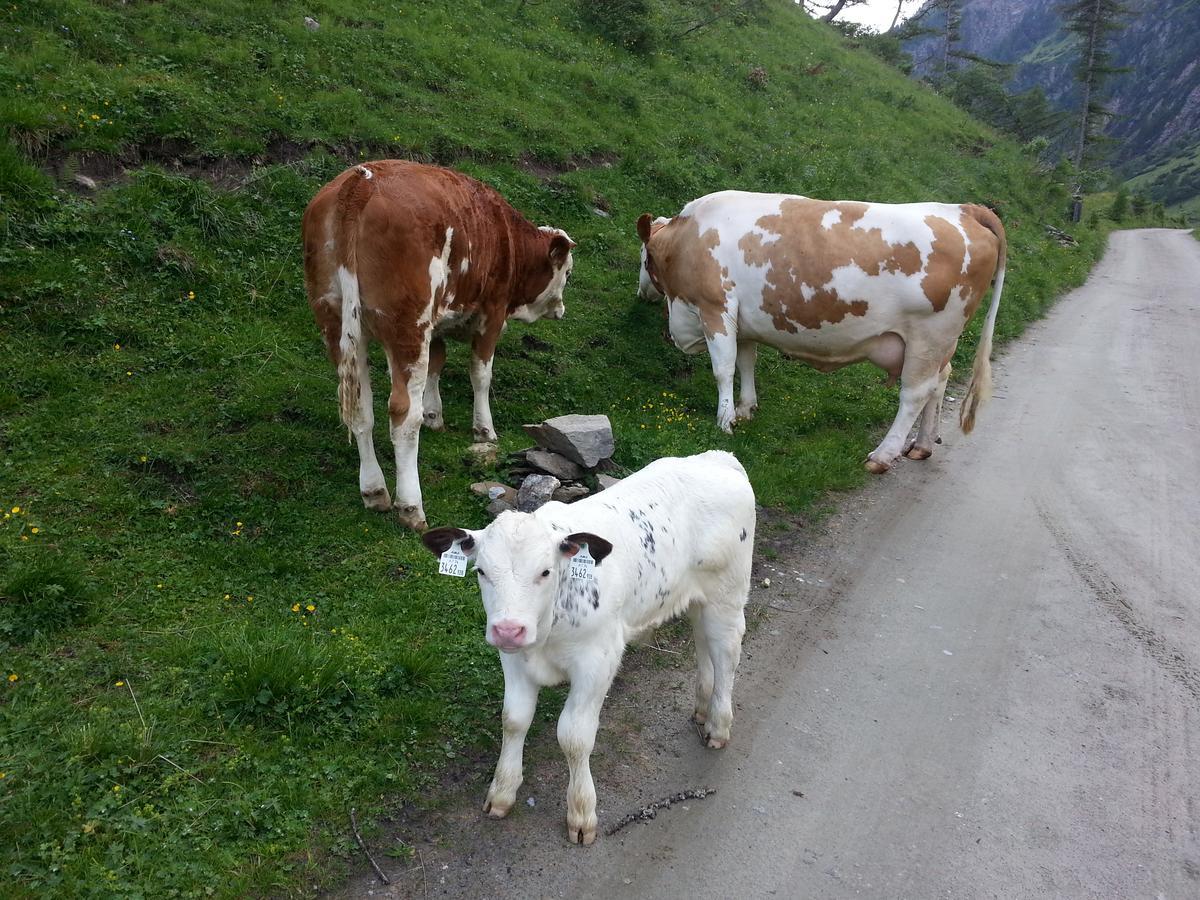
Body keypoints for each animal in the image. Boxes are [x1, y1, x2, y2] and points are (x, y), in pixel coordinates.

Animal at [304, 160, 576, 528]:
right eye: (568, 273)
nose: (560, 310)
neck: (505, 235)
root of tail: (361, 179)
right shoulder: (491, 313)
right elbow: (480, 374)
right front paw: (483, 429)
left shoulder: (438, 323)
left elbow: (437, 362)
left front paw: (434, 414)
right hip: (407, 326)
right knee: (403, 416)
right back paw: (410, 506)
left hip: (335, 322)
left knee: (361, 410)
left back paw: (374, 491)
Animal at [427, 451, 753, 844]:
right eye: (481, 572)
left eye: (545, 572)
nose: (508, 629)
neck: (547, 631)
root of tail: (718, 457)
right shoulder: (514, 660)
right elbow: (514, 720)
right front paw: (502, 792)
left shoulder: (597, 661)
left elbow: (574, 736)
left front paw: (581, 812)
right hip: (696, 599)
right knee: (705, 644)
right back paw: (703, 709)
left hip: (728, 596)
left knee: (727, 653)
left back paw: (718, 725)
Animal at [638, 190, 1003, 472]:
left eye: (643, 257)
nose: (641, 293)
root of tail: (965, 209)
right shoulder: (743, 322)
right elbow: (746, 362)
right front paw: (745, 409)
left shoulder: (716, 308)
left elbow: (724, 369)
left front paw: (725, 421)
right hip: (940, 343)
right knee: (940, 382)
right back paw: (922, 444)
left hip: (929, 336)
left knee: (915, 393)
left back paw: (882, 456)